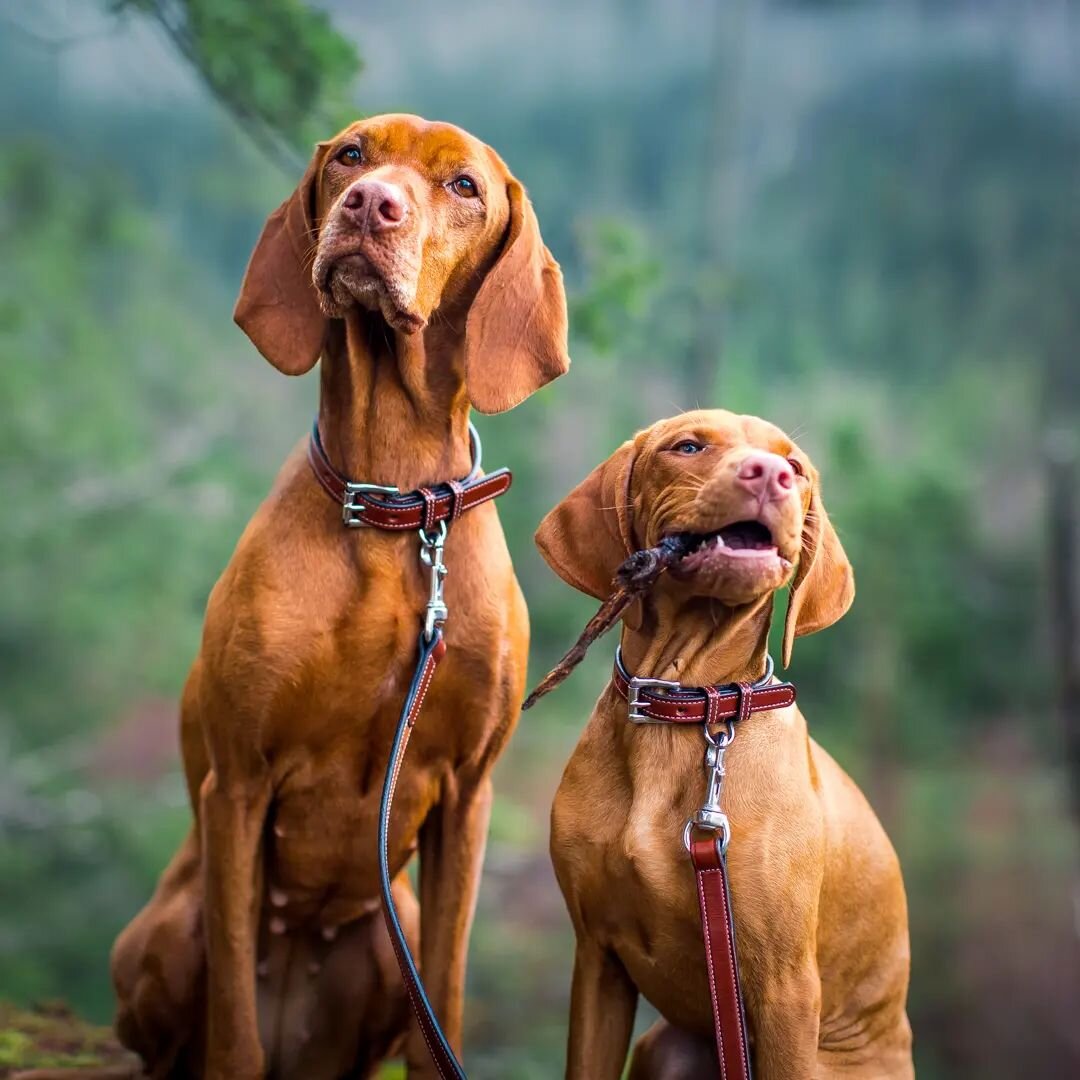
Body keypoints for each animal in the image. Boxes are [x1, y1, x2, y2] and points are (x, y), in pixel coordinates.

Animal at [47, 116, 570, 1080]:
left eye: (465, 186)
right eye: (353, 155)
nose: (370, 205)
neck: (396, 508)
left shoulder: (467, 800)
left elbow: (445, 1000)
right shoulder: (240, 785)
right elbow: (233, 1026)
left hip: (390, 934)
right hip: (171, 929)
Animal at [537, 408, 911, 1075]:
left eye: (796, 467)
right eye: (687, 447)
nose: (770, 475)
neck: (687, 702)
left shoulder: (786, 989)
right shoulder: (597, 961)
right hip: (667, 1047)